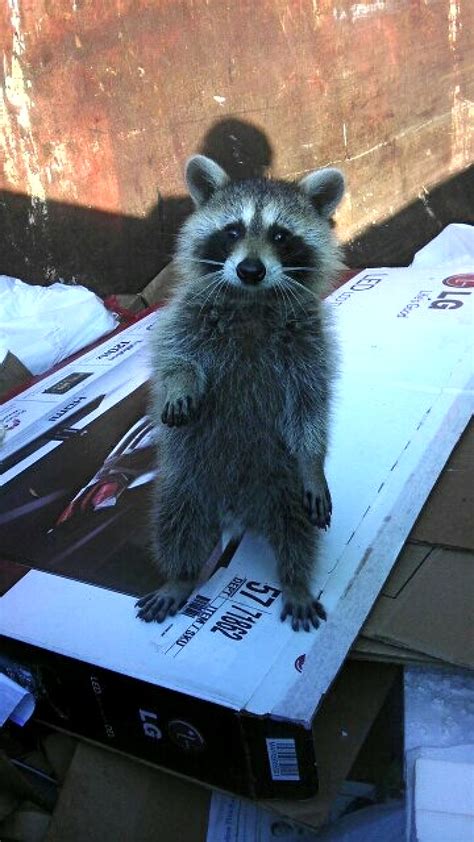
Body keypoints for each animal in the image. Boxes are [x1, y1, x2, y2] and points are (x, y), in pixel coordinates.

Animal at [136, 156, 344, 632]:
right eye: (232, 230)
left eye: (281, 235)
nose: (250, 270)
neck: (251, 301)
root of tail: (239, 511)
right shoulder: (185, 315)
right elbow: (173, 358)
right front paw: (181, 385)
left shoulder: (309, 343)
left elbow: (309, 405)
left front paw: (314, 459)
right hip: (186, 480)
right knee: (177, 523)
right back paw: (180, 576)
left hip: (282, 481)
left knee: (296, 531)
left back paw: (295, 580)